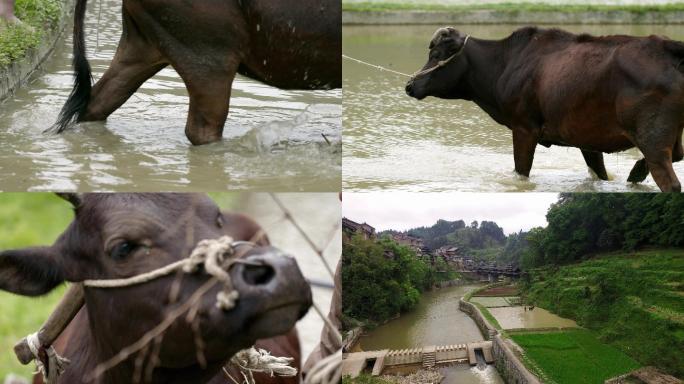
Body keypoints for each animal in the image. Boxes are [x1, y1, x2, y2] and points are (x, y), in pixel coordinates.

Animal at [406, 26, 684, 191]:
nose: (410, 85)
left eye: (437, 55)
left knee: (670, 182)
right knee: (677, 156)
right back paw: (636, 173)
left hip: (652, 139)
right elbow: (599, 173)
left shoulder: (524, 128)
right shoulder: (585, 137)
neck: (502, 66)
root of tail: (666, 46)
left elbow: (521, 172)